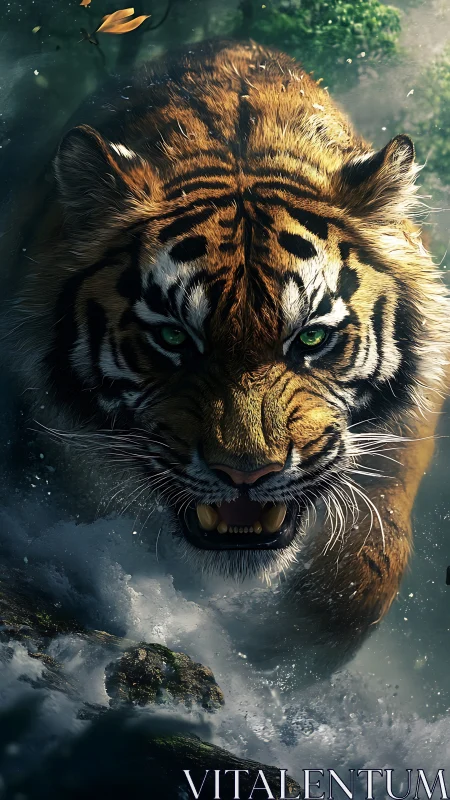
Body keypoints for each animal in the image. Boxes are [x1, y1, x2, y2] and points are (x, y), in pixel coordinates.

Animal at [4, 40, 450, 661]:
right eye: (172, 337)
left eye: (311, 337)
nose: (247, 475)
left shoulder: (401, 442)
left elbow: (366, 574)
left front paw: (287, 648)